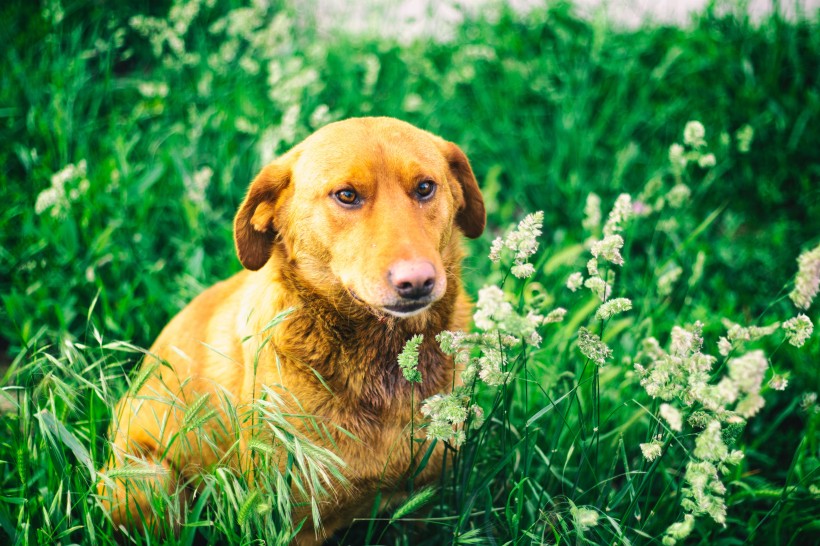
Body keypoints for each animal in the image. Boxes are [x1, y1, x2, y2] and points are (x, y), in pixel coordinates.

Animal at [101, 115, 486, 540]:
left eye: (425, 187)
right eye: (347, 195)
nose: (417, 281)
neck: (379, 360)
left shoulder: (423, 504)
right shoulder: (289, 523)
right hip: (150, 479)